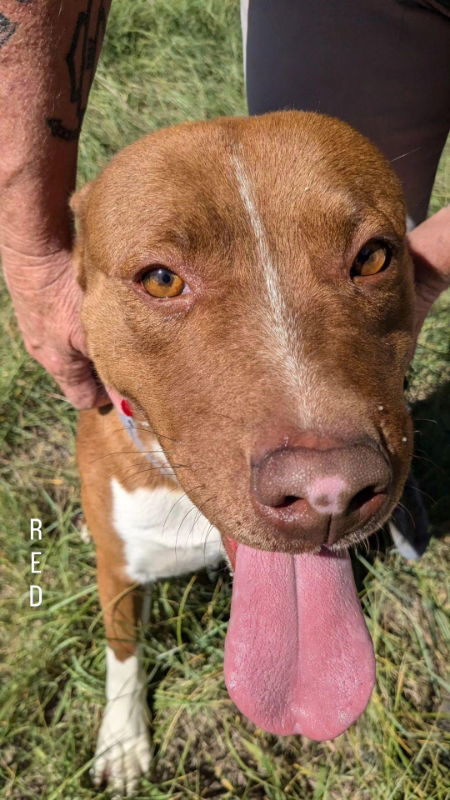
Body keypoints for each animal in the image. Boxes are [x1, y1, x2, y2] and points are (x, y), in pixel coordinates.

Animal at [73, 111, 414, 792]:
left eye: (373, 257)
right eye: (161, 279)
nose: (327, 492)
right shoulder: (118, 570)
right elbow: (122, 651)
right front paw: (122, 738)